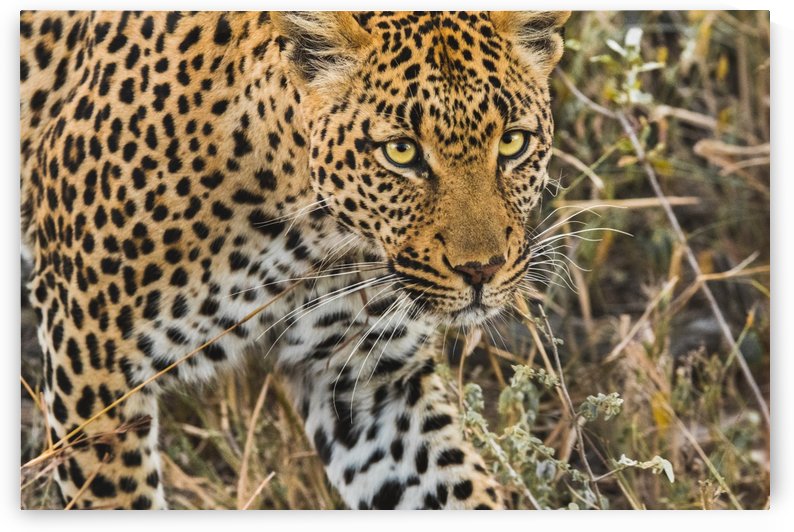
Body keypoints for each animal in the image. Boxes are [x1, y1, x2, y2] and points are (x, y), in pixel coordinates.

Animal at [20, 10, 570, 509]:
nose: (482, 269)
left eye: (513, 142)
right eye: (400, 152)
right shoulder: (94, 368)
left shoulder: (368, 383)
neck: (310, 237)